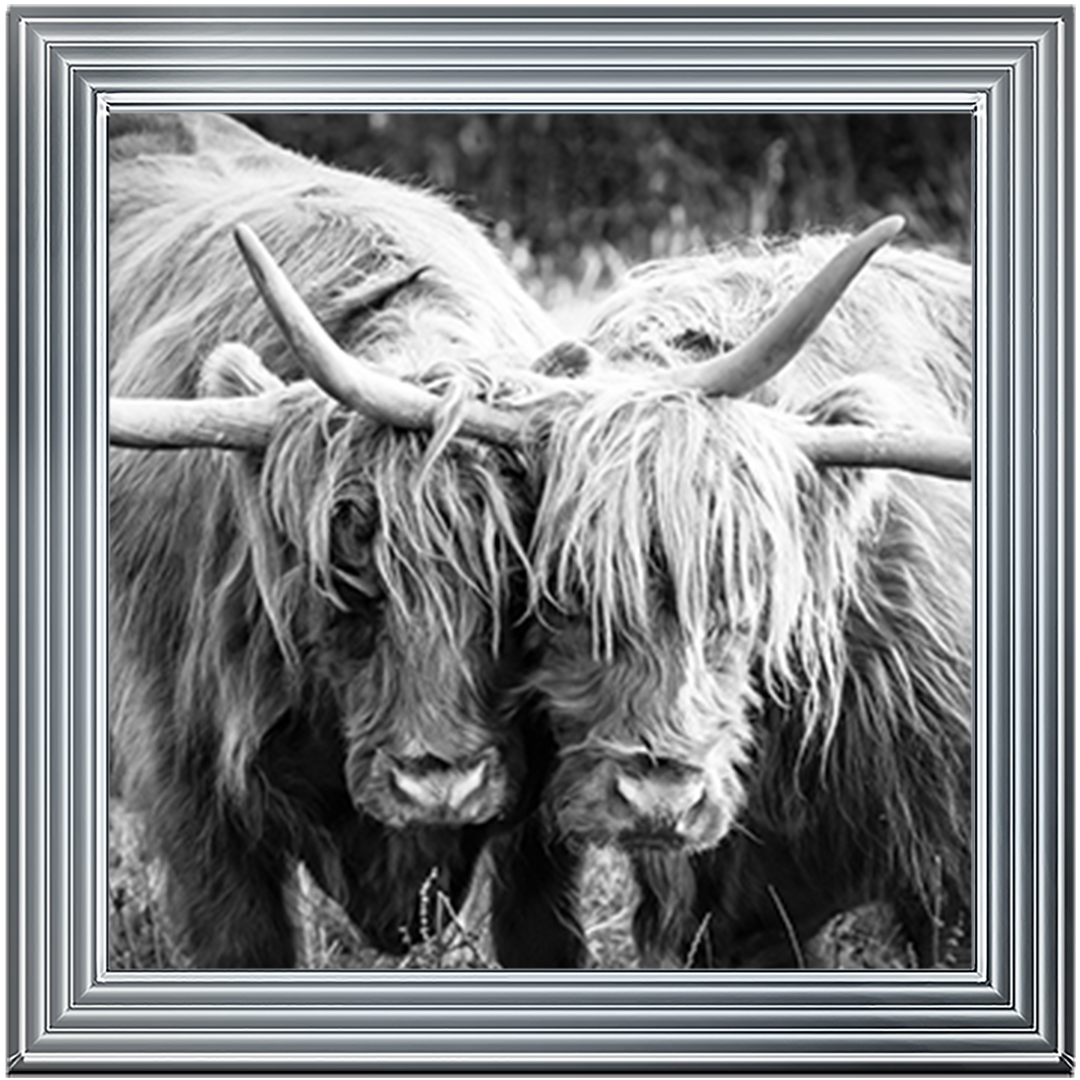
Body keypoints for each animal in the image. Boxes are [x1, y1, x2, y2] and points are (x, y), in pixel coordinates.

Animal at [108, 113, 574, 968]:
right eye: (344, 573)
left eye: (515, 579)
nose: (439, 784)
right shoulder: (190, 788)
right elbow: (242, 945)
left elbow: (542, 932)